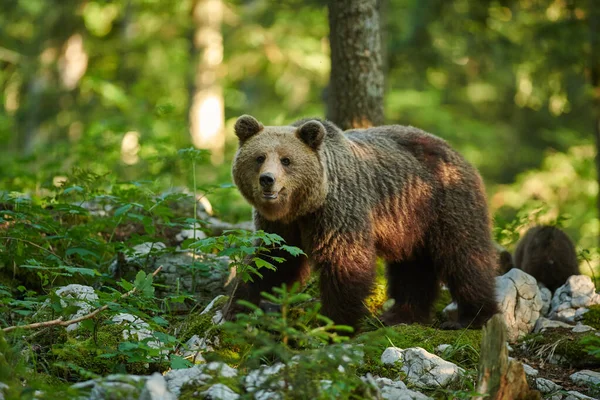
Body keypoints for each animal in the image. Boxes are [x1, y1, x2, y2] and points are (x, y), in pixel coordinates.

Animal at [227, 114, 500, 330]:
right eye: (259, 157)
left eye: (286, 160)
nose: (267, 180)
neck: (303, 207)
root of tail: (456, 152)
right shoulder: (280, 227)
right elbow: (271, 260)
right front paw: (237, 307)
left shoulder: (339, 212)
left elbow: (345, 263)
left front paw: (337, 325)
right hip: (411, 222)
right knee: (412, 268)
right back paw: (400, 315)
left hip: (445, 205)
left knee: (464, 257)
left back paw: (472, 317)